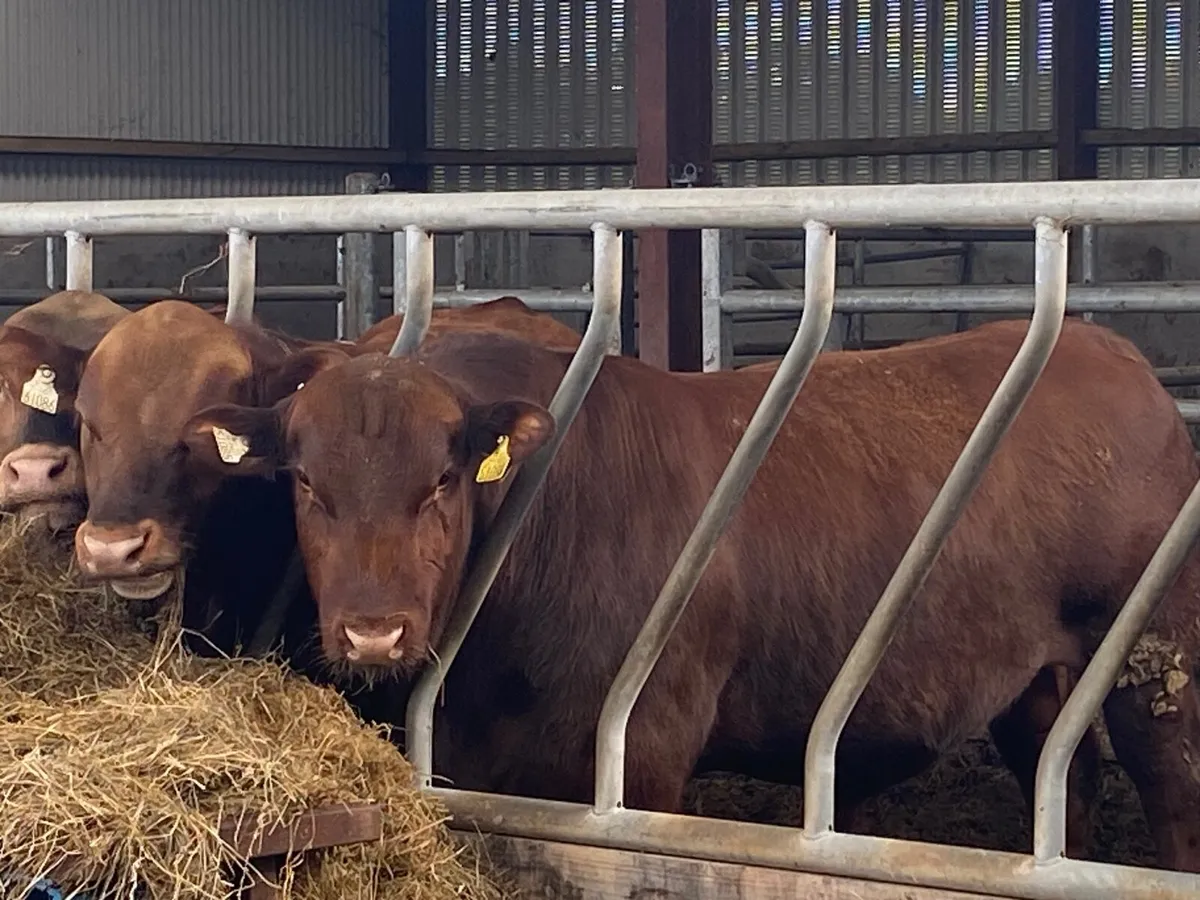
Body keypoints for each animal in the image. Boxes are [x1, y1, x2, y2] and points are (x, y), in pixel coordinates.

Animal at [184, 318, 1200, 873]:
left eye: (441, 480)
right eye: (305, 483)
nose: (373, 633)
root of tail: (1113, 355)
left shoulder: (641, 756)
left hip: (1157, 665)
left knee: (1171, 794)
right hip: (1033, 677)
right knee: (1062, 780)